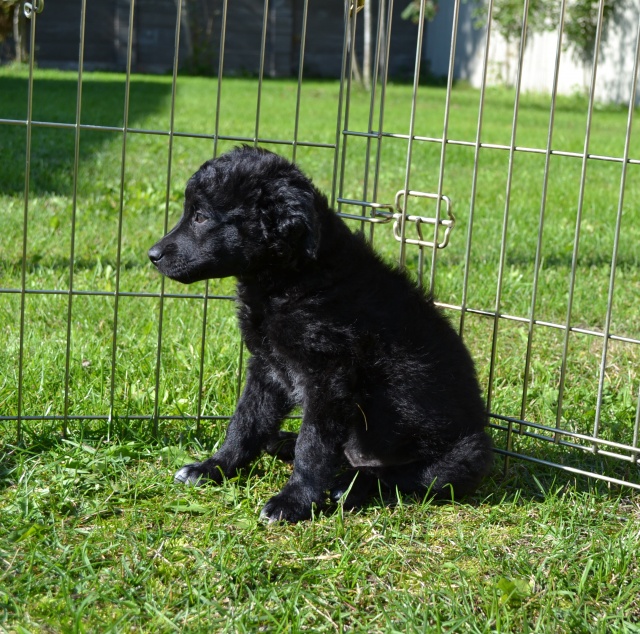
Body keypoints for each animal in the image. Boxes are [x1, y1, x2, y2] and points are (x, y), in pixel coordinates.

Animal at [148, 146, 492, 522]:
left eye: (200, 217)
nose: (152, 255)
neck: (292, 279)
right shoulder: (267, 366)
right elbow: (246, 421)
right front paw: (214, 467)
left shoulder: (328, 377)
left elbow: (312, 446)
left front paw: (294, 500)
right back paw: (284, 442)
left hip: (464, 455)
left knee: (399, 475)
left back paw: (350, 486)